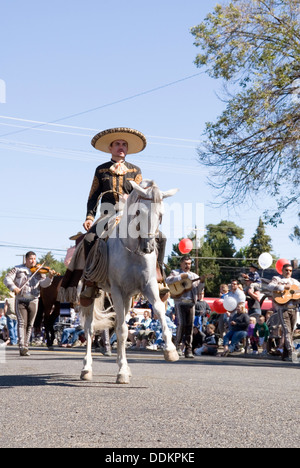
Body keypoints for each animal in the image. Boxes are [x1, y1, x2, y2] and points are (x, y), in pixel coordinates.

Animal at [79, 180, 179, 384]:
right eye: (139, 212)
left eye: (161, 214)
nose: (149, 246)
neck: (133, 250)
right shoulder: (117, 290)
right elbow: (122, 331)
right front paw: (122, 372)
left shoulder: (148, 286)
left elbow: (159, 311)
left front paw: (171, 350)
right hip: (94, 297)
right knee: (90, 329)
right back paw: (86, 368)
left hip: (128, 299)